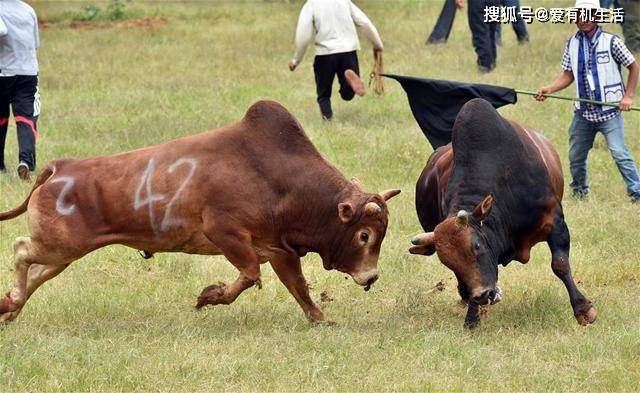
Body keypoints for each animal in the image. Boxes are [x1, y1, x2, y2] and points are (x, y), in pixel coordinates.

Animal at [0, 99, 400, 324]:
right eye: (364, 235)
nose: (371, 277)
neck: (282, 179)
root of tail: (61, 167)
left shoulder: (280, 249)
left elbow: (298, 286)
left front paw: (320, 319)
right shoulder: (224, 233)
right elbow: (249, 275)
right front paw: (210, 296)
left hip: (63, 252)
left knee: (35, 272)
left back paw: (8, 308)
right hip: (59, 245)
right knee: (21, 251)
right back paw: (13, 301)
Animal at [410, 98, 596, 328]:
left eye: (477, 245)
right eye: (447, 261)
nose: (482, 295)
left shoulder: (554, 220)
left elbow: (560, 265)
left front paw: (583, 309)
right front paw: (472, 318)